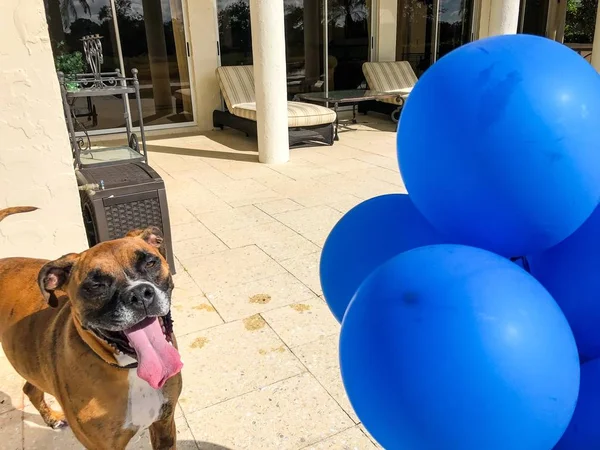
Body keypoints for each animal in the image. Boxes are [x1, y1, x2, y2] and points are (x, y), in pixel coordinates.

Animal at [0, 207, 183, 446]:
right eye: (96, 285)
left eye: (150, 263)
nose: (139, 293)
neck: (129, 369)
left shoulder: (164, 425)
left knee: (30, 388)